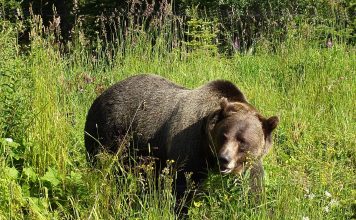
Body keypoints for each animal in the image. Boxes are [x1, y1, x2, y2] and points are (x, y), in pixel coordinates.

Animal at [83, 73, 278, 206]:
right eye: (223, 135)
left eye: (243, 141)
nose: (224, 159)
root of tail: (101, 95)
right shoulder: (189, 146)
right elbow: (182, 186)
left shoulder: (251, 161)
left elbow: (254, 185)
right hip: (108, 133)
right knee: (105, 168)